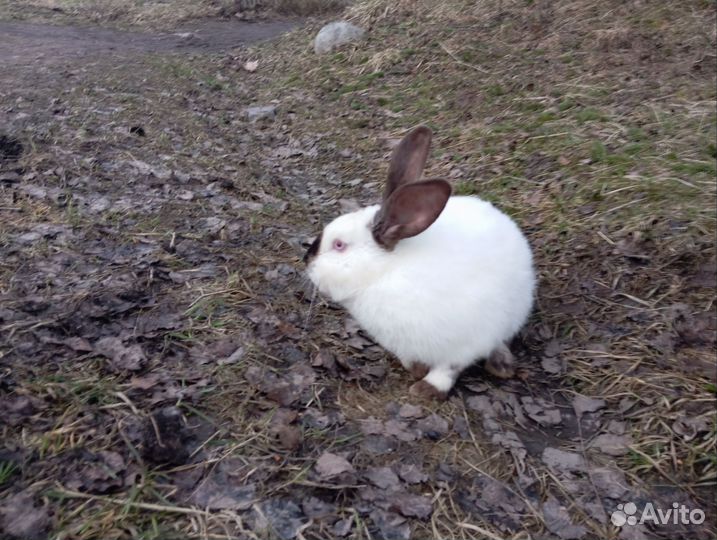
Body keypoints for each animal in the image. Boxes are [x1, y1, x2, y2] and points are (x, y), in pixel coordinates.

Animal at [304, 126, 535, 399]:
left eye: (339, 245)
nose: (306, 260)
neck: (384, 274)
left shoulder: (465, 342)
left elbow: (448, 369)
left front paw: (426, 389)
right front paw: (416, 370)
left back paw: (501, 365)